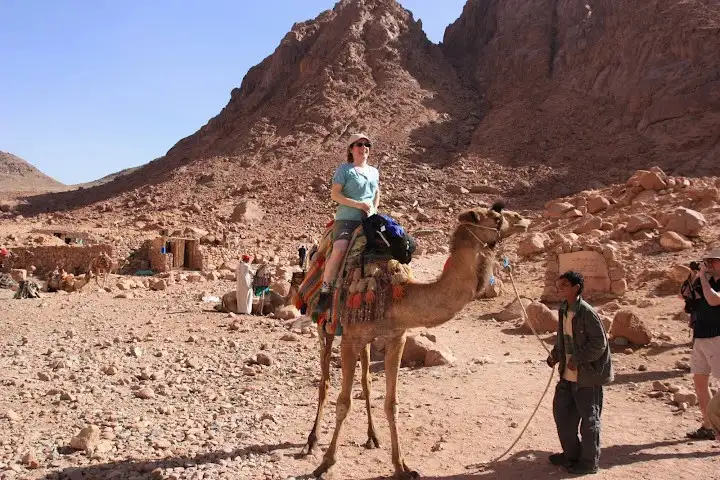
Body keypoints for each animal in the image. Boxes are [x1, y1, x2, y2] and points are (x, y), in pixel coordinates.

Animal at [305, 203, 529, 480]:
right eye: (497, 218)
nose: (521, 219)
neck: (396, 295)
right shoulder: (350, 339)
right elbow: (343, 403)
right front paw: (326, 463)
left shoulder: (396, 337)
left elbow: (391, 404)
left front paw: (402, 466)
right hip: (325, 326)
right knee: (324, 381)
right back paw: (312, 440)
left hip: (365, 340)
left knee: (366, 381)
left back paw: (372, 437)